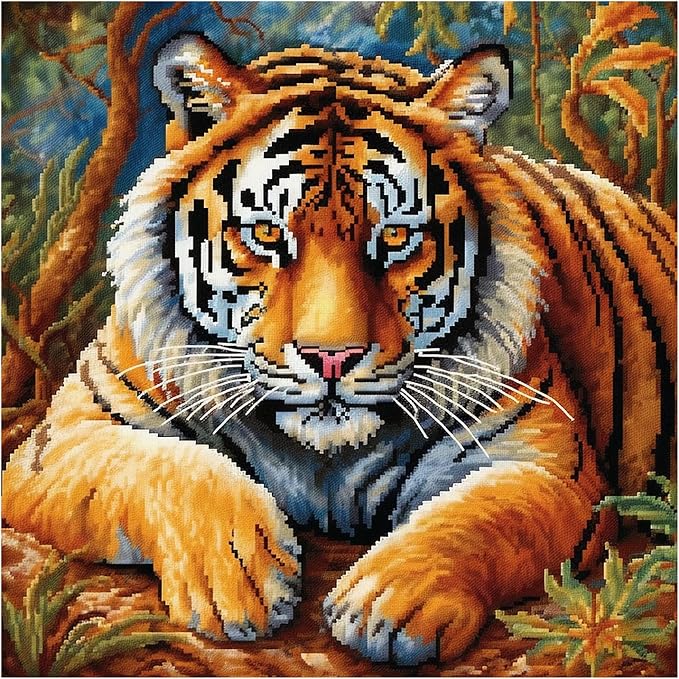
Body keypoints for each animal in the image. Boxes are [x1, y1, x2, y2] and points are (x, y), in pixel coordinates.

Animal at [3, 34, 676, 666]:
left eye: (398, 237)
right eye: (267, 233)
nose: (332, 358)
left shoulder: (551, 469)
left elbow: (480, 517)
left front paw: (389, 602)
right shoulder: (67, 434)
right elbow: (170, 468)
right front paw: (238, 575)